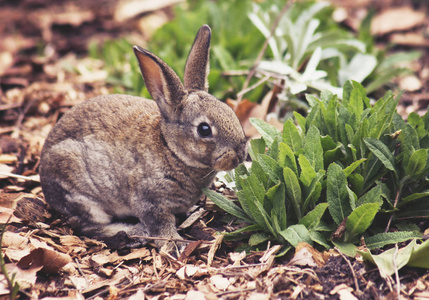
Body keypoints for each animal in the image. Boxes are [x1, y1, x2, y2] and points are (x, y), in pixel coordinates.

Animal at [41, 25, 247, 250]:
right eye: (204, 129)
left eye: (229, 110)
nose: (240, 155)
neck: (171, 149)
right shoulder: (150, 201)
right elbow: (161, 223)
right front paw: (175, 243)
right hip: (82, 193)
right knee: (86, 225)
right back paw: (134, 232)